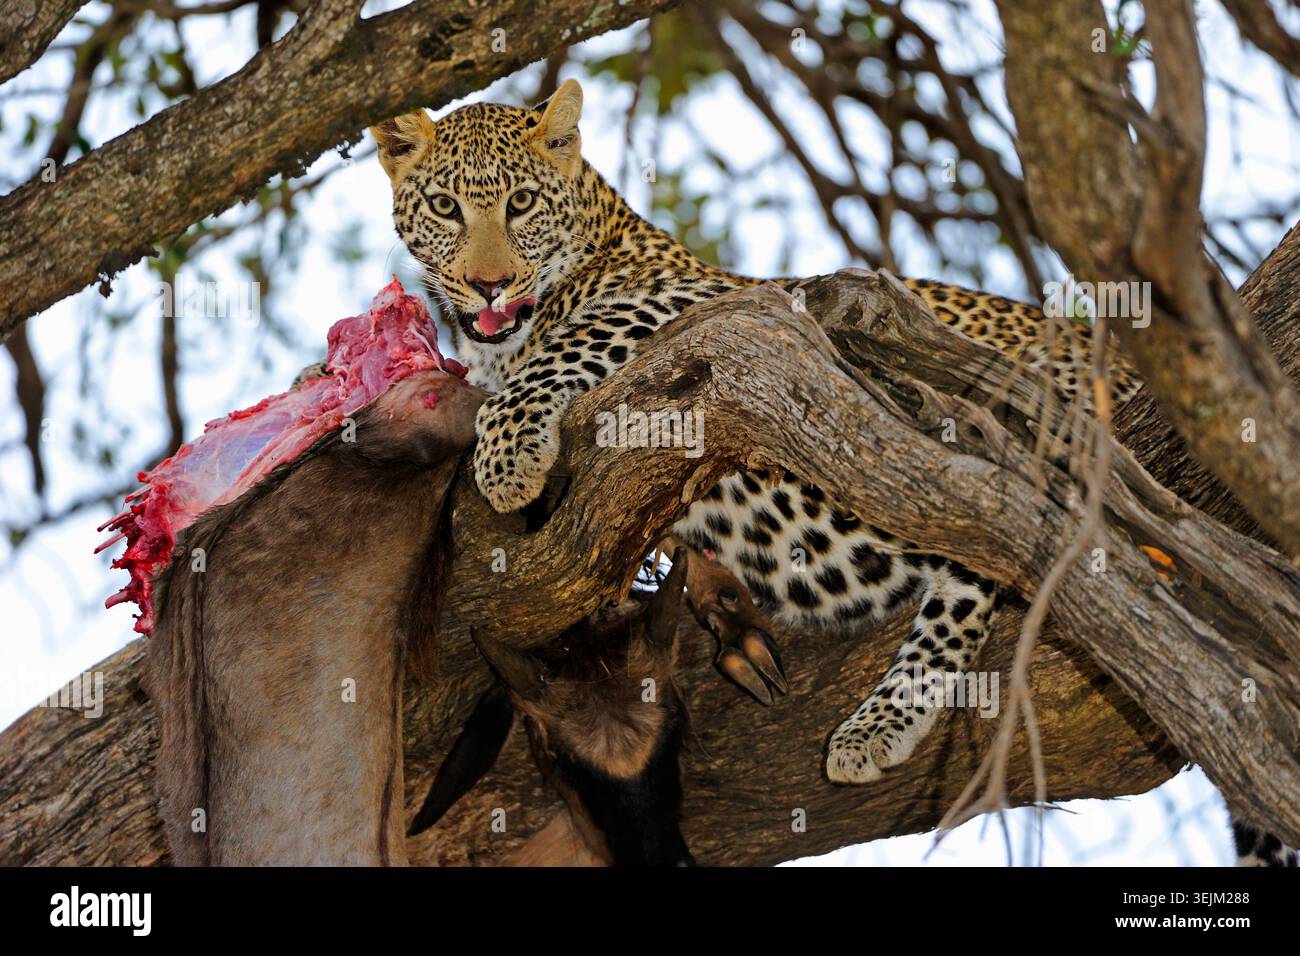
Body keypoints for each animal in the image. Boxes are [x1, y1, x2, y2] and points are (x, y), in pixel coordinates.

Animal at [369, 79, 1293, 867]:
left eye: (520, 205)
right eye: (446, 208)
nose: (489, 283)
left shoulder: (720, 302)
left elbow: (573, 341)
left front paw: (508, 450)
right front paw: (712, 603)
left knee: (987, 544)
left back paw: (878, 721)